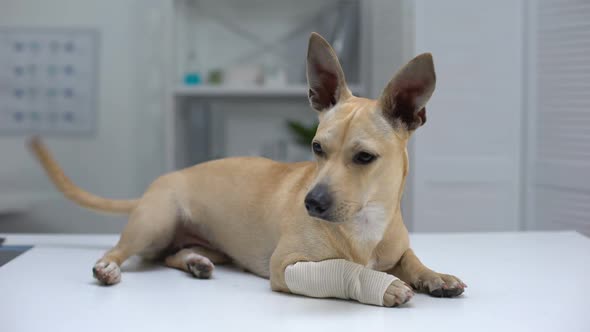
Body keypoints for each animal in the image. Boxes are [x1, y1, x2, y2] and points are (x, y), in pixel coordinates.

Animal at [30, 33, 468, 306]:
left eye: (364, 157)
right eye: (316, 148)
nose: (312, 203)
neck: (365, 224)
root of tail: (162, 181)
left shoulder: (397, 246)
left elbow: (410, 259)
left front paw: (435, 276)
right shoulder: (287, 266)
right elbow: (340, 270)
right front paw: (387, 286)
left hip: (204, 243)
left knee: (169, 257)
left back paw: (195, 262)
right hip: (154, 223)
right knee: (121, 251)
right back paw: (108, 268)